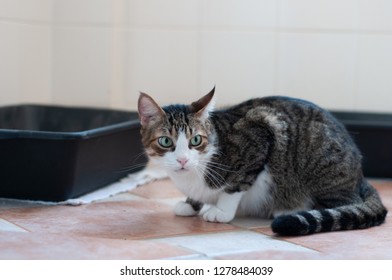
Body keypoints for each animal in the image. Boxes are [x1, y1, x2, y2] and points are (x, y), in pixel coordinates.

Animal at [136, 86, 388, 235]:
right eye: (165, 142)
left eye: (196, 140)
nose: (182, 160)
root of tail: (360, 177)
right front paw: (190, 203)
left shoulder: (259, 136)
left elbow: (235, 186)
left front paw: (221, 211)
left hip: (323, 168)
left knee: (346, 203)